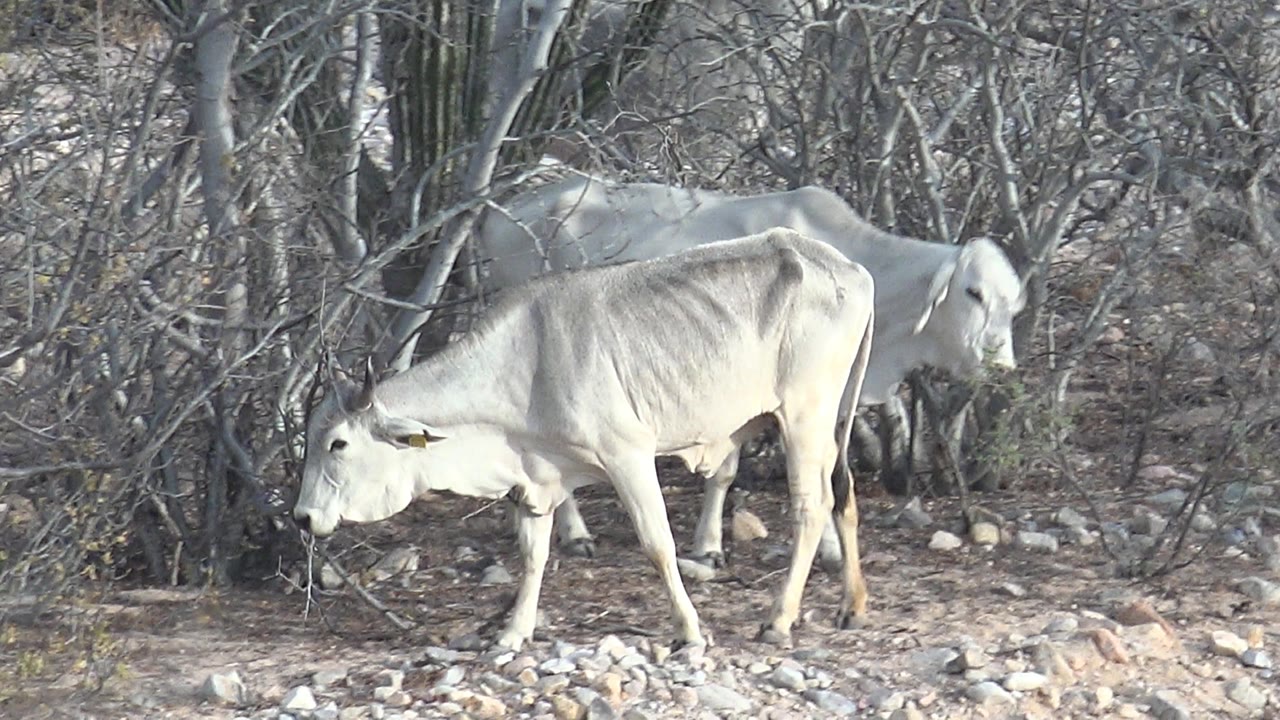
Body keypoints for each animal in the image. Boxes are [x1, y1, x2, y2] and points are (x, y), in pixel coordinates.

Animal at [294, 229, 876, 650]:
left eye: (338, 444)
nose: (302, 517)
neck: (523, 365)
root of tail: (852, 269)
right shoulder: (536, 478)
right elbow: (533, 555)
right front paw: (512, 632)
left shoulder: (628, 455)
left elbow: (658, 544)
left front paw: (689, 630)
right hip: (825, 423)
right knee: (841, 494)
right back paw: (852, 605)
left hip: (803, 416)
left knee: (811, 506)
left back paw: (778, 620)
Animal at [476, 174, 1026, 564]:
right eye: (973, 292)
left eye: (1013, 302)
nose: (1001, 361)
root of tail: (510, 207)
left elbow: (759, 471)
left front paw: (719, 545)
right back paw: (575, 534)